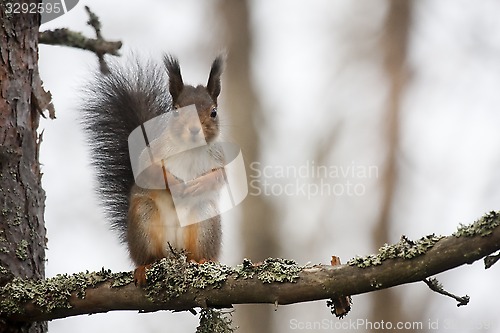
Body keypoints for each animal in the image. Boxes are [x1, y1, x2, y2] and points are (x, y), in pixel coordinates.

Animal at [81, 53, 225, 282]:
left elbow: (220, 176)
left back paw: (202, 260)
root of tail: (175, 253)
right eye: (176, 111)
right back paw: (145, 267)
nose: (194, 129)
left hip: (205, 218)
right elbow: (149, 172)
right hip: (144, 218)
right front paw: (176, 184)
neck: (189, 149)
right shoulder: (152, 155)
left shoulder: (219, 157)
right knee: (149, 256)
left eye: (214, 112)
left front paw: (198, 185)